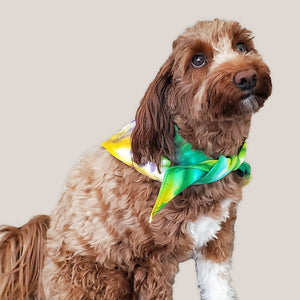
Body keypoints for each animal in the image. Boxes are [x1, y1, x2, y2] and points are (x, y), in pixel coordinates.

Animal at [0, 19, 272, 300]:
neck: (203, 164)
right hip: (103, 277)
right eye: (198, 60)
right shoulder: (152, 260)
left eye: (242, 46)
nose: (247, 77)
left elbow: (218, 286)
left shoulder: (217, 238)